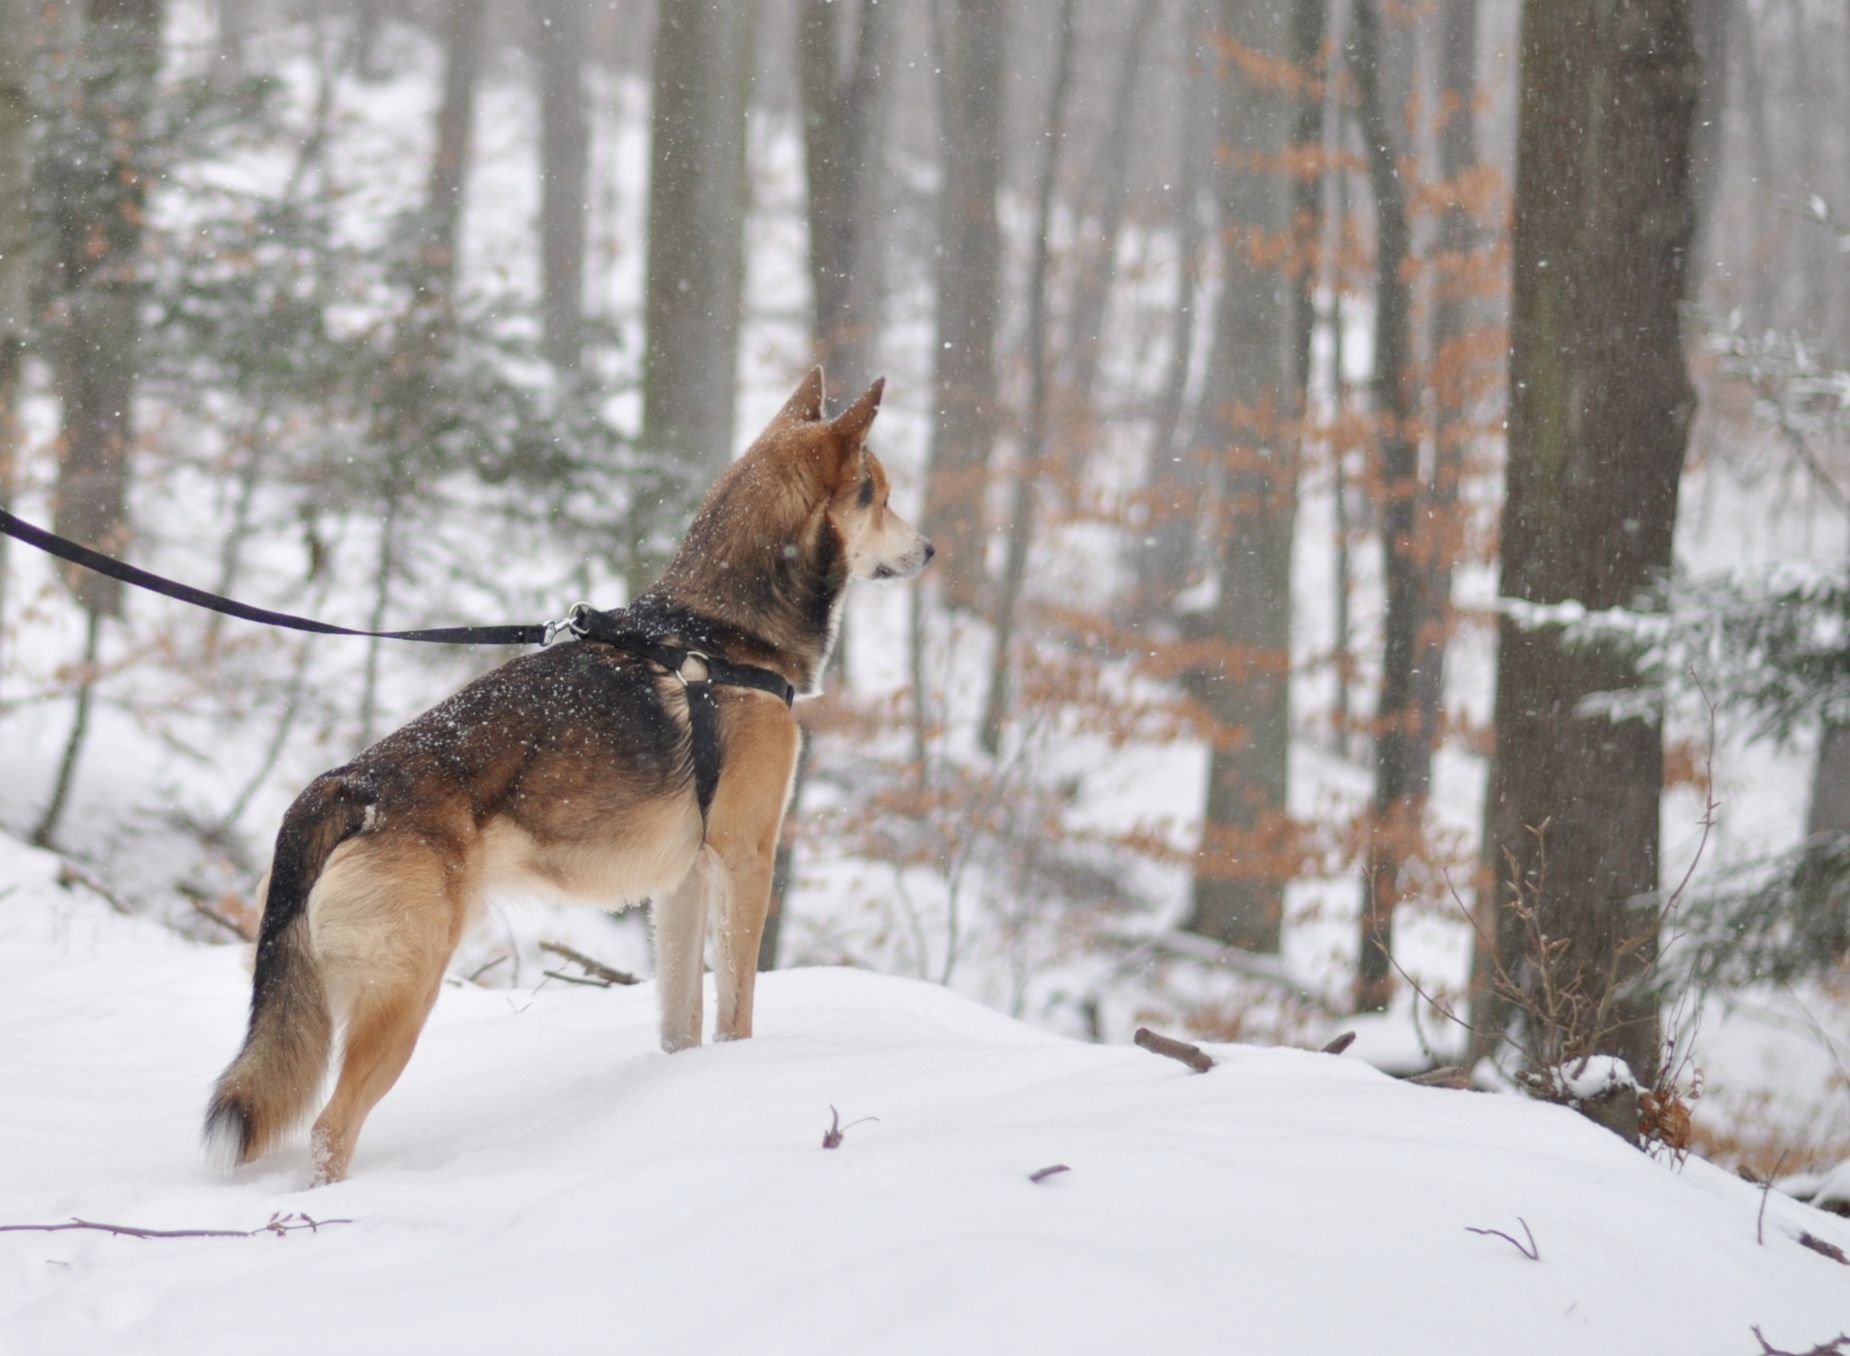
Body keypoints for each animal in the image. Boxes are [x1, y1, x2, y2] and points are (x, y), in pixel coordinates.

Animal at [204, 368, 931, 1185]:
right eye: (881, 493)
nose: (931, 549)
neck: (721, 632)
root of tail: (350, 783)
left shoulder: (683, 884)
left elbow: (681, 1023)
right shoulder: (746, 861)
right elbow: (737, 1011)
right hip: (404, 996)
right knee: (332, 1127)